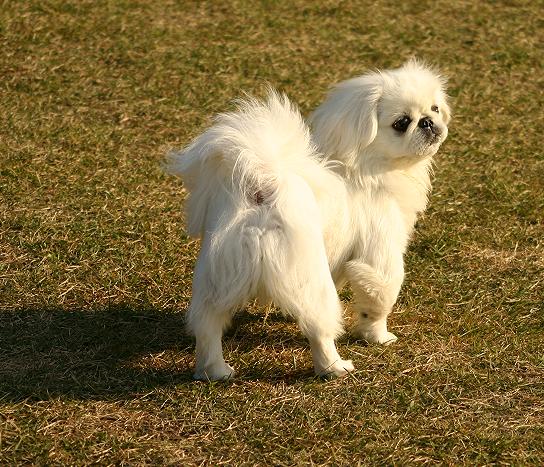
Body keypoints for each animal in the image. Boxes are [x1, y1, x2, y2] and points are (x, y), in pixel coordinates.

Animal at [167, 59, 450, 380]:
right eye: (402, 123)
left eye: (435, 108)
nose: (427, 122)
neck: (368, 167)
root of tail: (263, 191)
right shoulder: (380, 254)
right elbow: (378, 301)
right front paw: (378, 337)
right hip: (311, 279)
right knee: (319, 328)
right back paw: (334, 368)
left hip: (219, 276)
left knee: (208, 326)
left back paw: (215, 371)